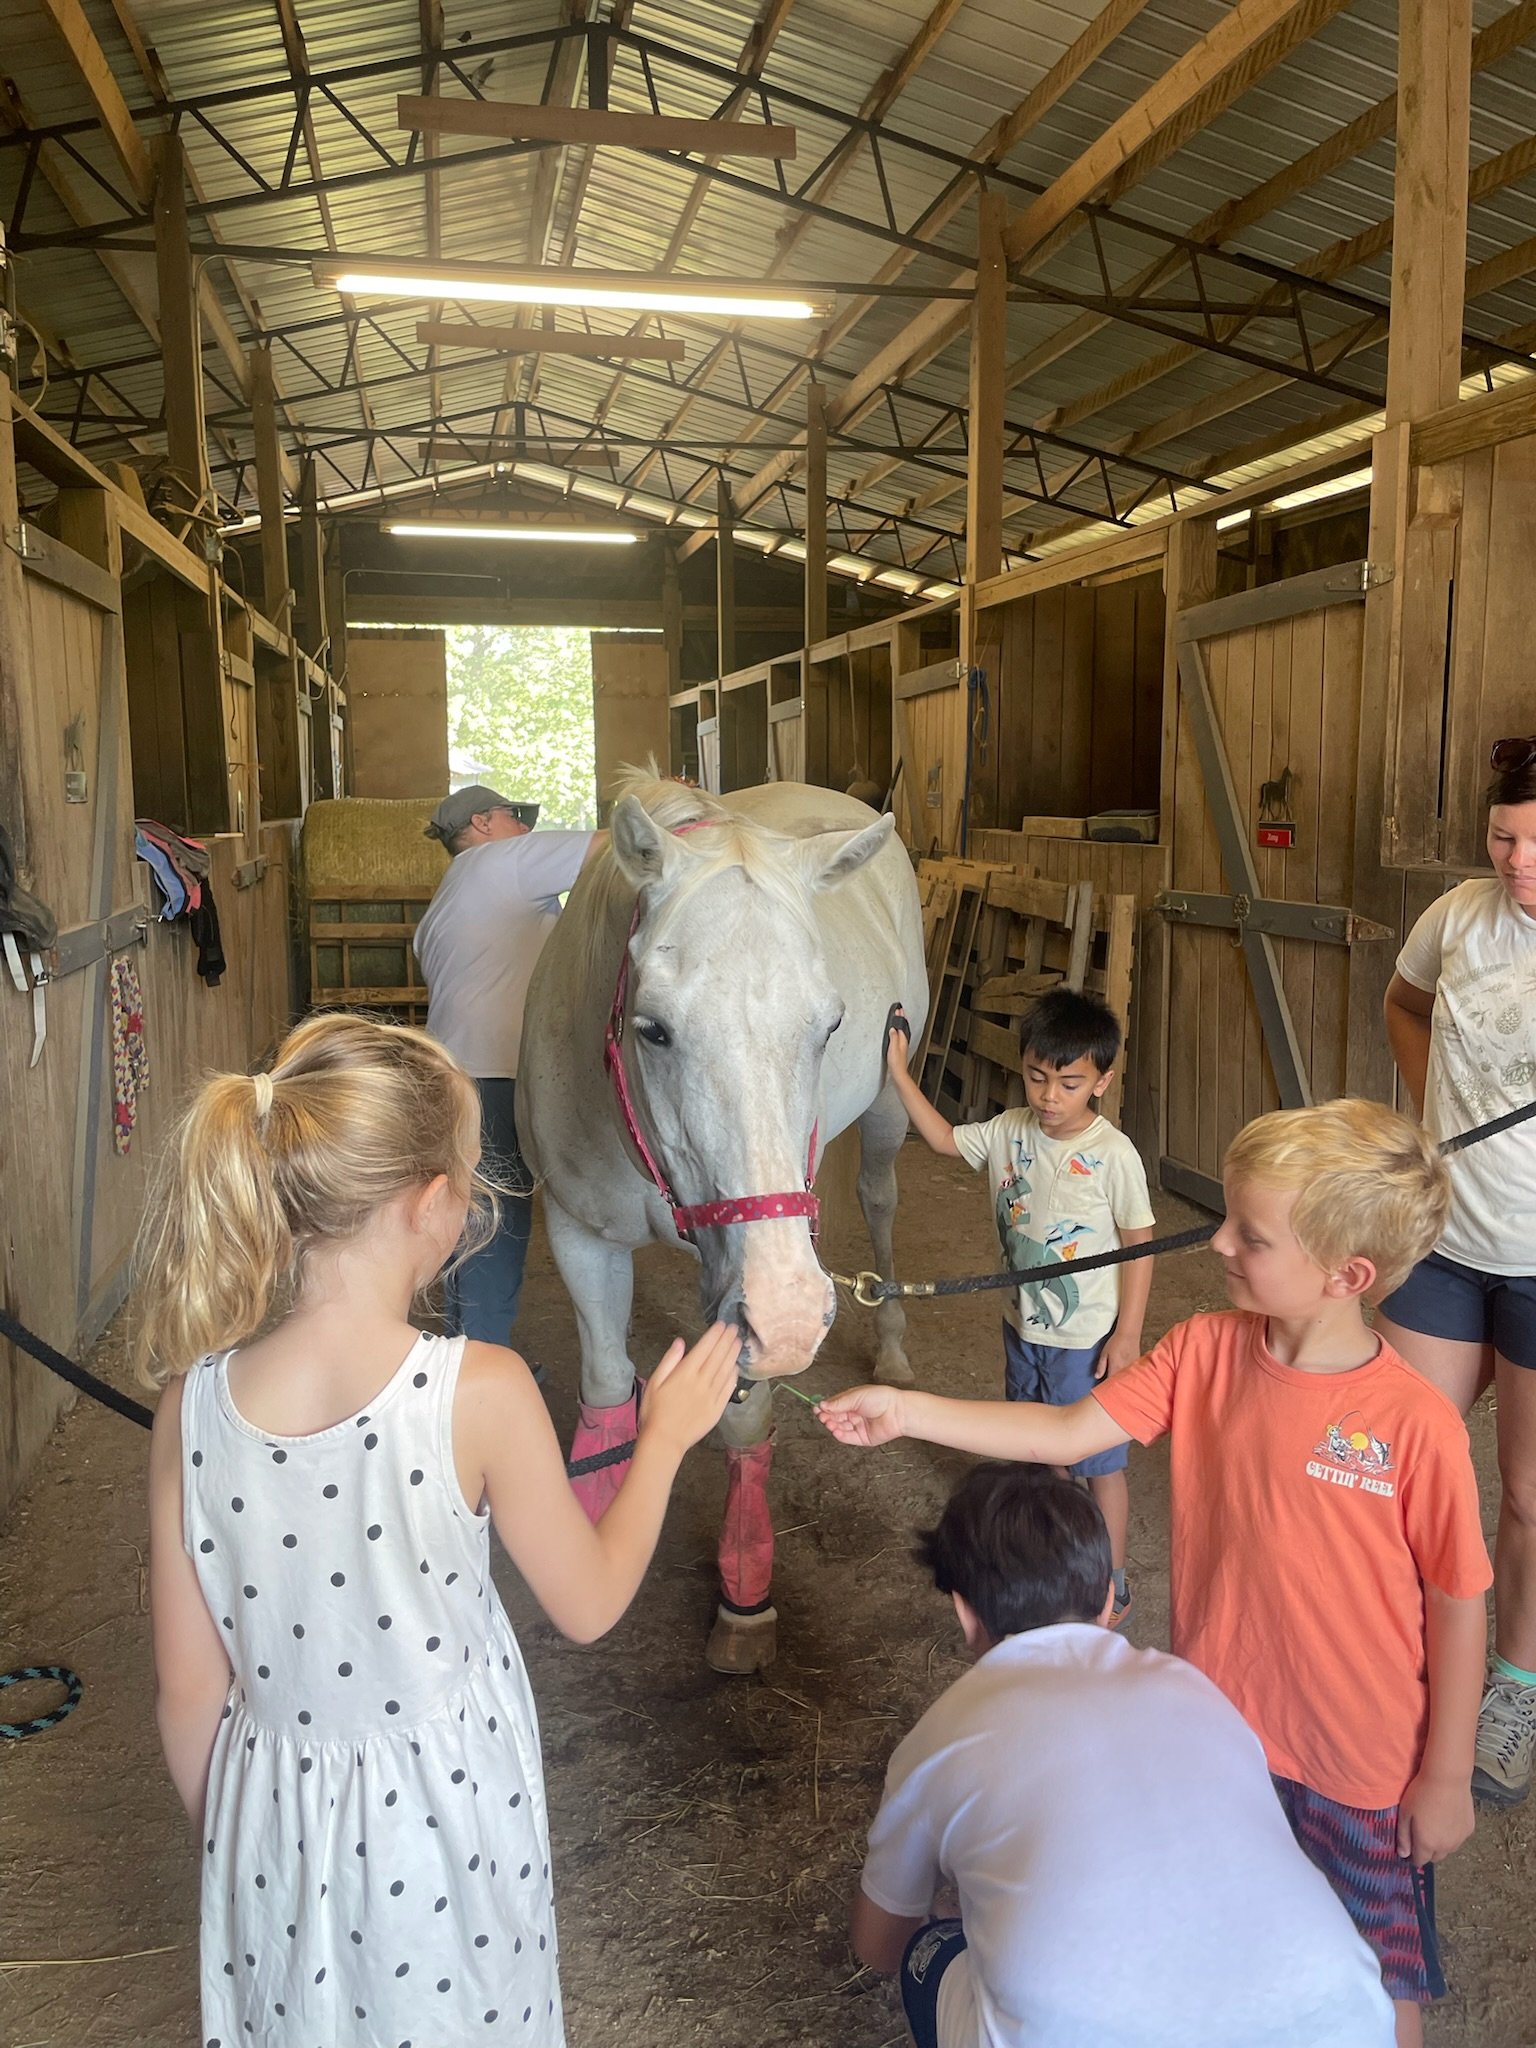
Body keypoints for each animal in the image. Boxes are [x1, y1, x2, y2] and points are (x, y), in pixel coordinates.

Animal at [517, 774, 929, 1673]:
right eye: (652, 1028)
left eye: (830, 1024)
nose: (791, 1320)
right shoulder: (580, 1231)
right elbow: (606, 1383)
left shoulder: (767, 1272)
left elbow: (747, 1416)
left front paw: (744, 1596)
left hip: (888, 1107)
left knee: (882, 1201)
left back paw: (893, 1343)